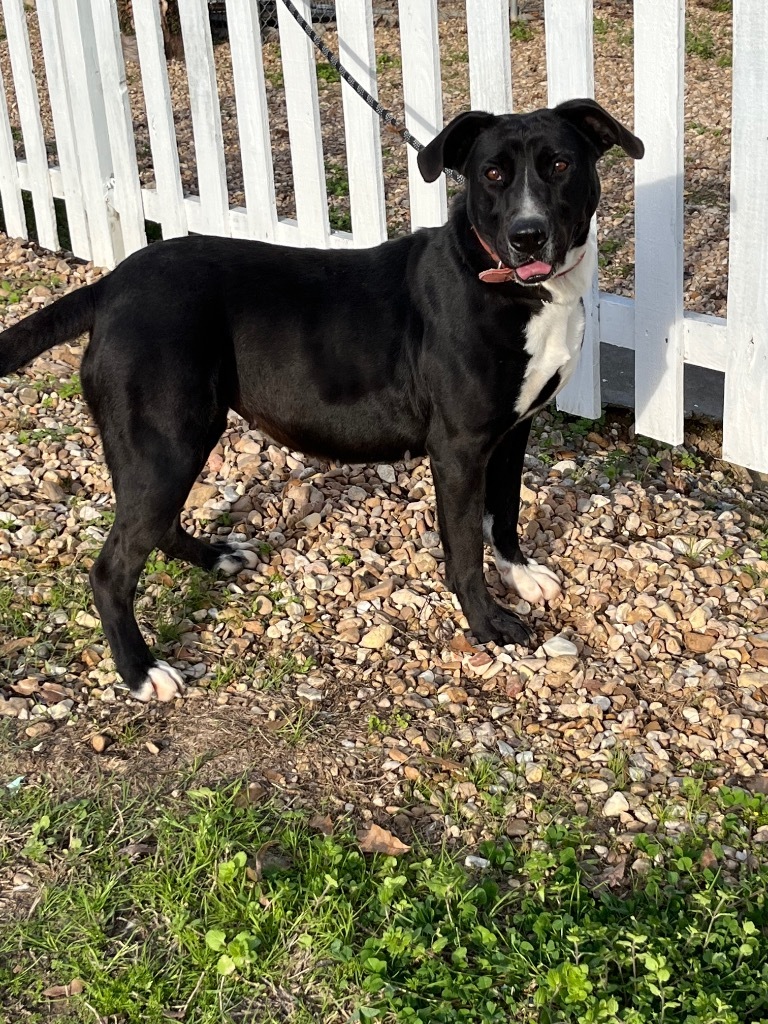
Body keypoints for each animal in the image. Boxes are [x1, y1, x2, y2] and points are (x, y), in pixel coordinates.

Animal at [0, 97, 647, 704]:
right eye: (491, 173)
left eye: (560, 165)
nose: (527, 235)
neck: (505, 283)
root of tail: (110, 286)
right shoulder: (460, 450)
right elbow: (464, 547)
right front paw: (488, 624)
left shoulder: (513, 433)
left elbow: (505, 513)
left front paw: (520, 574)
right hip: (166, 443)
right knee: (111, 569)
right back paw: (140, 672)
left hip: (172, 442)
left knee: (154, 528)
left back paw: (215, 558)